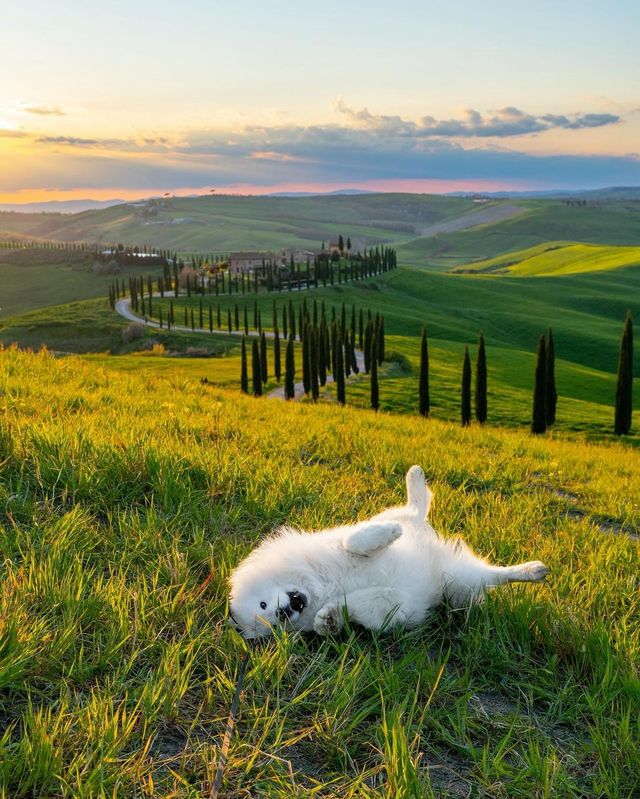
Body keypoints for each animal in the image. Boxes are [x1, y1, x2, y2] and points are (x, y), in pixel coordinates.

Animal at [228, 466, 548, 640]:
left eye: (262, 605)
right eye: (269, 621)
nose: (283, 611)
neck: (320, 588)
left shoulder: (342, 543)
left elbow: (353, 541)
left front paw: (388, 534)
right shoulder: (393, 606)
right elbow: (357, 605)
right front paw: (328, 621)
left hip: (405, 522)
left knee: (416, 508)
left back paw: (413, 481)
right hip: (461, 579)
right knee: (496, 576)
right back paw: (533, 571)